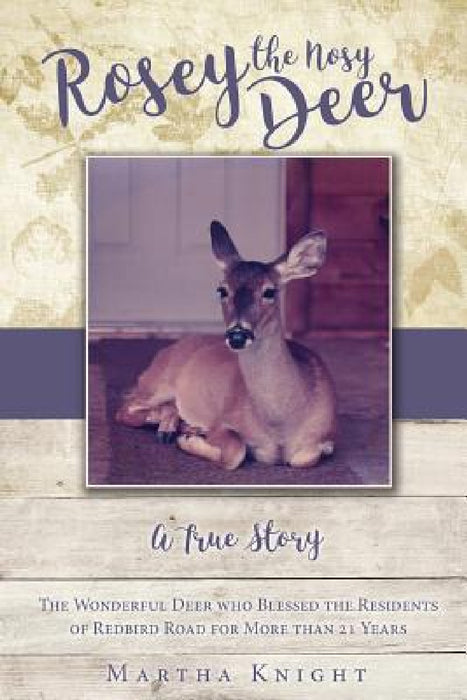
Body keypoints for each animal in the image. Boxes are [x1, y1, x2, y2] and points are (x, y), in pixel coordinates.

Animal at [116, 220, 337, 470]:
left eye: (270, 291)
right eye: (221, 289)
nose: (237, 335)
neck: (281, 424)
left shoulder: (325, 436)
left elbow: (305, 459)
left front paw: (189, 433)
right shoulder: (222, 421)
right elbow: (234, 450)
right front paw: (189, 440)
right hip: (156, 382)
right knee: (125, 409)